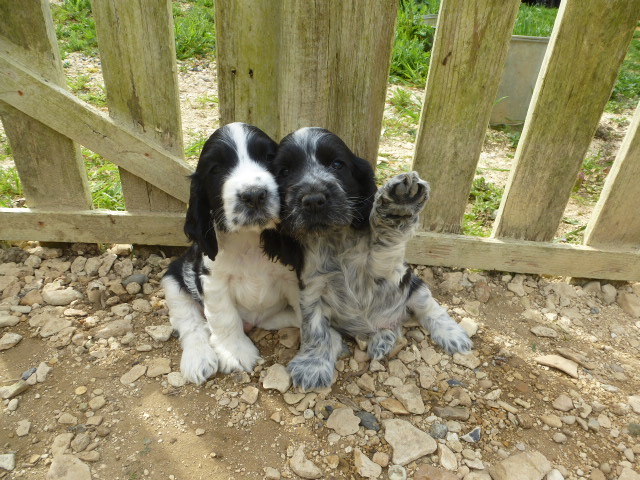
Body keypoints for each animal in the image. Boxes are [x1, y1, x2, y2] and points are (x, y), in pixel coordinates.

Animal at [160, 124, 300, 386]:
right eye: (216, 169)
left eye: (269, 158)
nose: (254, 195)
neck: (249, 239)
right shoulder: (213, 280)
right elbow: (224, 317)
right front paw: (236, 353)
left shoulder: (293, 275)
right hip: (173, 279)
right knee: (191, 324)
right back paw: (198, 359)